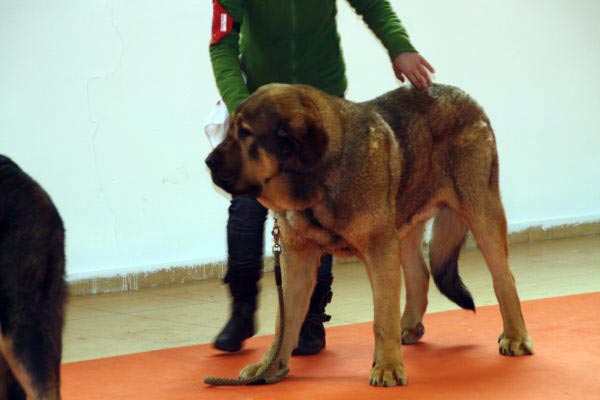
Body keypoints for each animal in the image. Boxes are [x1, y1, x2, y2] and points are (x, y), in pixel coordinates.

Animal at [204, 83, 532, 386]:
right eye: (232, 130)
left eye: (246, 133)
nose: (208, 161)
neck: (319, 181)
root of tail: (467, 99)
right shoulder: (296, 259)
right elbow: (284, 321)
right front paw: (269, 367)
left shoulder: (379, 250)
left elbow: (382, 316)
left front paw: (387, 367)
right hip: (405, 224)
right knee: (419, 274)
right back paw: (409, 327)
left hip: (480, 209)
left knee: (504, 277)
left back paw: (515, 336)